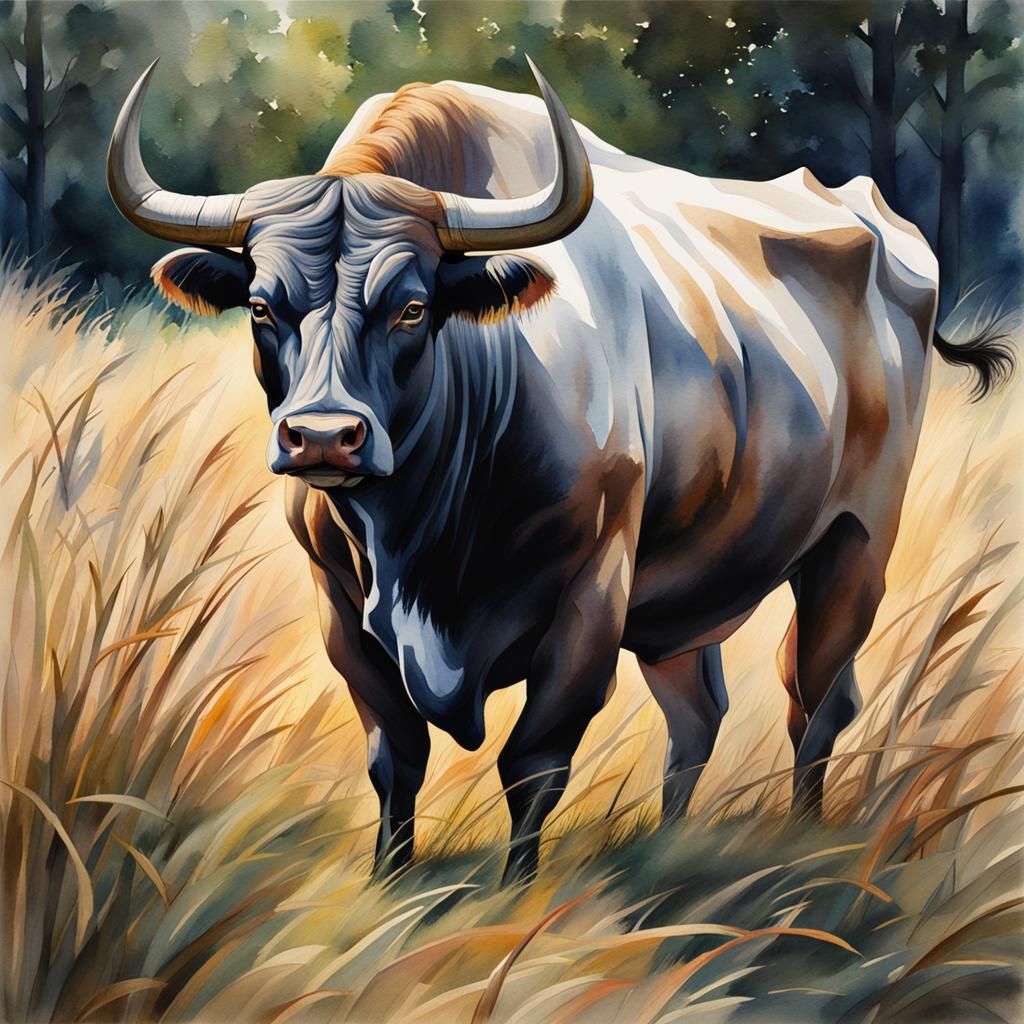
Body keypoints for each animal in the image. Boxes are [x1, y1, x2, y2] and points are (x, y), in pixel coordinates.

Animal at [108, 58, 1012, 883]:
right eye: (264, 307)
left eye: (412, 308)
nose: (323, 438)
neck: (418, 535)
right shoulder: (339, 607)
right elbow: (394, 762)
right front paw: (387, 883)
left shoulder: (592, 595)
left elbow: (532, 765)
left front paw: (517, 896)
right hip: (690, 588)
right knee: (699, 717)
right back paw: (669, 843)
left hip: (855, 544)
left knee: (814, 701)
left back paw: (802, 839)